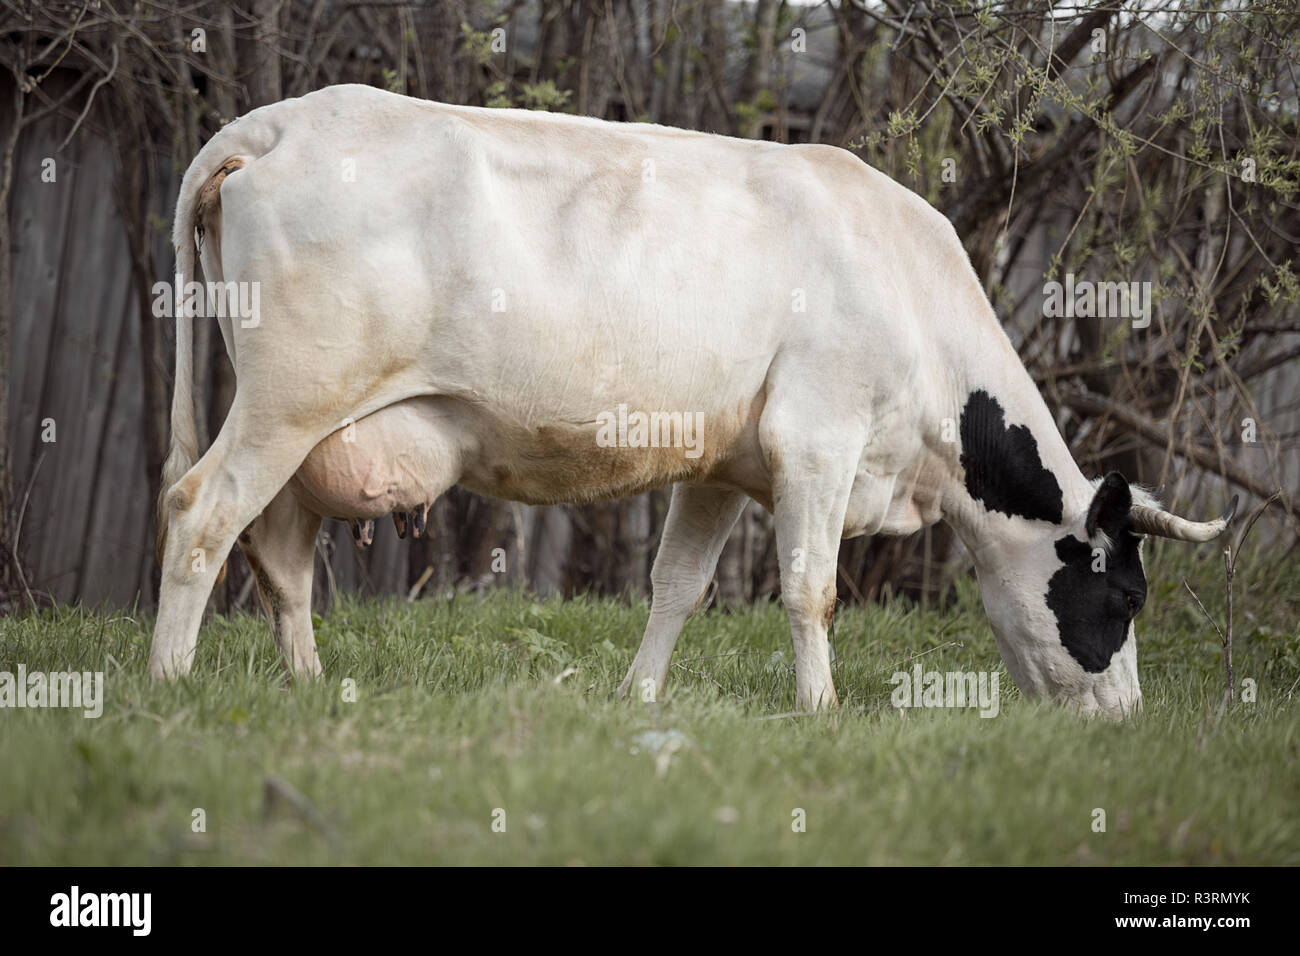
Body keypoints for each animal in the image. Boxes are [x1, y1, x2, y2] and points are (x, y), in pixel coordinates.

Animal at [149, 84, 1236, 718]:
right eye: (1126, 597)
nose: (1128, 718)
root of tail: (274, 120)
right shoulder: (817, 439)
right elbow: (810, 588)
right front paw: (819, 712)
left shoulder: (721, 464)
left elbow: (677, 584)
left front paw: (638, 700)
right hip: (290, 397)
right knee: (201, 512)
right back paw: (170, 679)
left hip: (300, 421)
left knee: (278, 550)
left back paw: (307, 685)